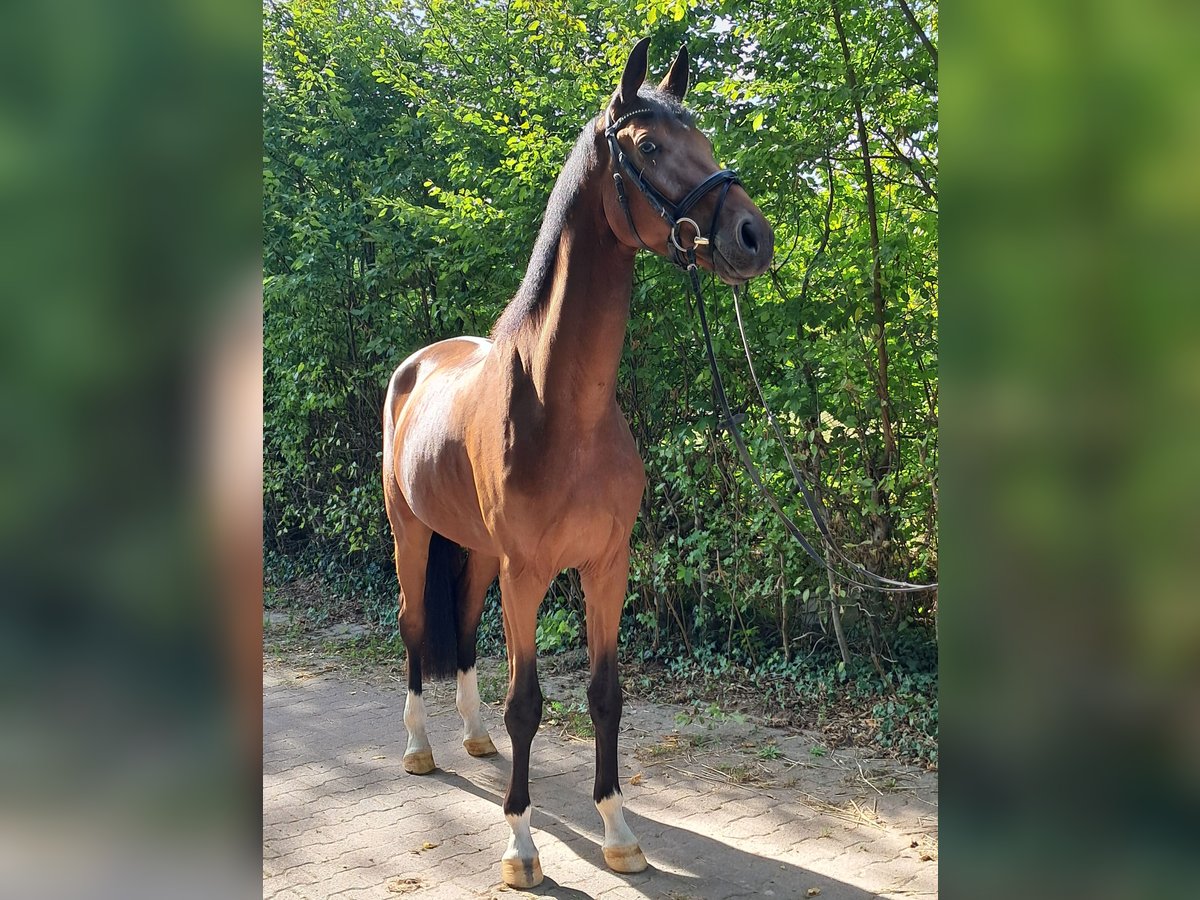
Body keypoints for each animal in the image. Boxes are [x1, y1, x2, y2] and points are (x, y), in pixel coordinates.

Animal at [381, 37, 774, 888]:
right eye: (649, 147)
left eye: (706, 138)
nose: (752, 235)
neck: (566, 411)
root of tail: (417, 365)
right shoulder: (530, 572)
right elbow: (528, 704)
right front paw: (521, 845)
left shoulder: (605, 564)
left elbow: (604, 695)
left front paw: (619, 830)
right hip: (412, 533)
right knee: (414, 625)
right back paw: (421, 747)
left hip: (478, 552)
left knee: (463, 629)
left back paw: (473, 740)